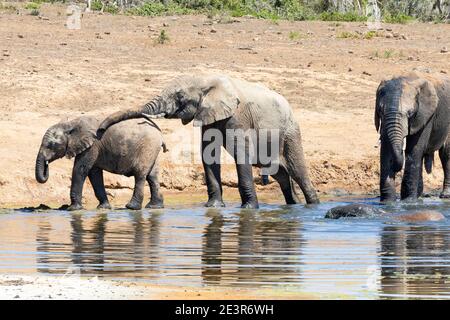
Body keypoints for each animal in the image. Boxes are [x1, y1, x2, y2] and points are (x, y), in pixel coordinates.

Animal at [35, 116, 165, 211]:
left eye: (51, 145)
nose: (47, 164)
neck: (70, 124)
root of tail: (160, 134)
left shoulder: (92, 145)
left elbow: (80, 169)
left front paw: (73, 209)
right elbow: (94, 174)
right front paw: (103, 208)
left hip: (147, 147)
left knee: (140, 174)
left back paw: (132, 207)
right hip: (152, 150)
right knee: (152, 176)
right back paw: (154, 207)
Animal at [97, 73, 320, 209]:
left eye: (180, 96)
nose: (99, 131)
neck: (206, 80)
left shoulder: (238, 116)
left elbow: (240, 153)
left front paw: (248, 209)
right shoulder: (206, 114)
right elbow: (209, 153)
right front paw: (213, 207)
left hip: (290, 131)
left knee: (297, 171)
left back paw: (313, 205)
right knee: (280, 174)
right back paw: (294, 205)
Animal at [374, 72, 450, 202]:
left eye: (410, 113)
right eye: (380, 110)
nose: (396, 167)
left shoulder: (425, 115)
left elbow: (414, 149)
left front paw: (408, 201)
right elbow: (386, 148)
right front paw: (387, 202)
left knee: (445, 154)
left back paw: (445, 195)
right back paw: (419, 196)